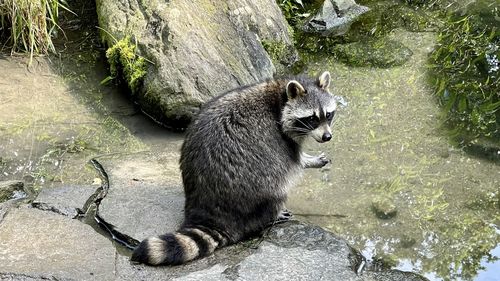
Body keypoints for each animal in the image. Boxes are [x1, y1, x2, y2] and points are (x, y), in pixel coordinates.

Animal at [131, 71, 338, 264]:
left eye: (328, 115)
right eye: (312, 118)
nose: (327, 137)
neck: (279, 98)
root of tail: (211, 212)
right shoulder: (282, 137)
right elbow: (295, 161)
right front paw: (309, 161)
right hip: (257, 184)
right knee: (277, 185)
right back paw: (274, 213)